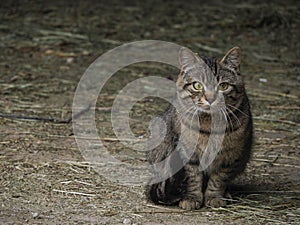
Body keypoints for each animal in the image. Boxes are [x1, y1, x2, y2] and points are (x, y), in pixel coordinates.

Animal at [146, 46, 252, 210]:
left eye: (223, 86)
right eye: (197, 85)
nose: (210, 98)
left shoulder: (230, 157)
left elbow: (219, 179)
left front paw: (214, 197)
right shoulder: (189, 155)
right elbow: (193, 179)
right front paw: (192, 198)